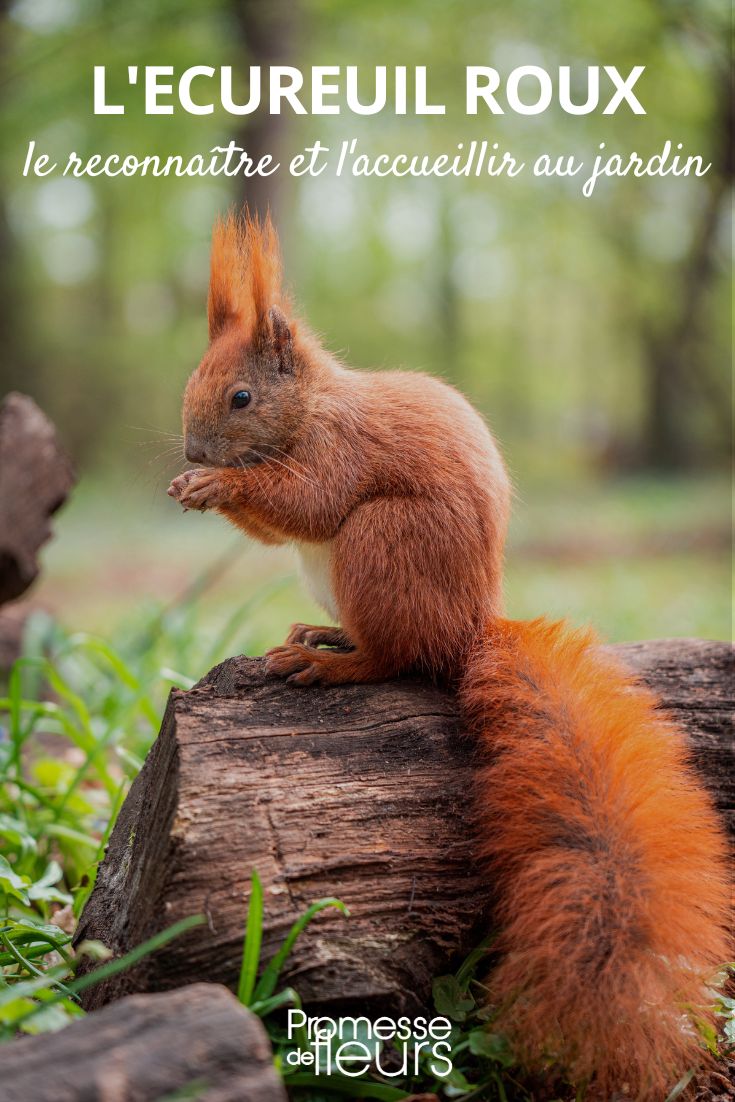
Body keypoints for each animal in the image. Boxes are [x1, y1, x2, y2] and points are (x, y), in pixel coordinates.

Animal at [170, 210, 731, 1097]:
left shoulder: (337, 452)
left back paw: (333, 662)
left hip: (379, 543)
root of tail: (469, 627)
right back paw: (323, 637)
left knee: (395, 657)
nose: (192, 453)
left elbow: (308, 502)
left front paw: (220, 488)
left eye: (241, 396)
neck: (314, 404)